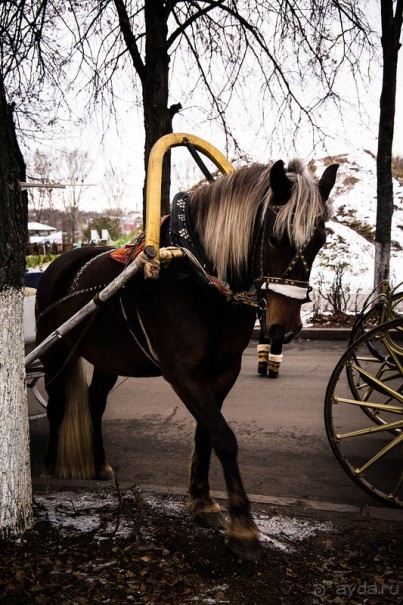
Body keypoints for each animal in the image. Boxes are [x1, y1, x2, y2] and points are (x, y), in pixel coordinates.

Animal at [35, 158, 338, 560]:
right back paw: (50, 465)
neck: (198, 274)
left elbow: (206, 434)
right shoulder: (182, 373)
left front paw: (203, 500)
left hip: (108, 359)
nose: (285, 329)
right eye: (276, 237)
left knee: (95, 402)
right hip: (55, 350)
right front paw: (242, 525)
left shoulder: (223, 372)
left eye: (320, 241)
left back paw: (99, 463)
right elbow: (223, 436)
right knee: (56, 404)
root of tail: (59, 262)